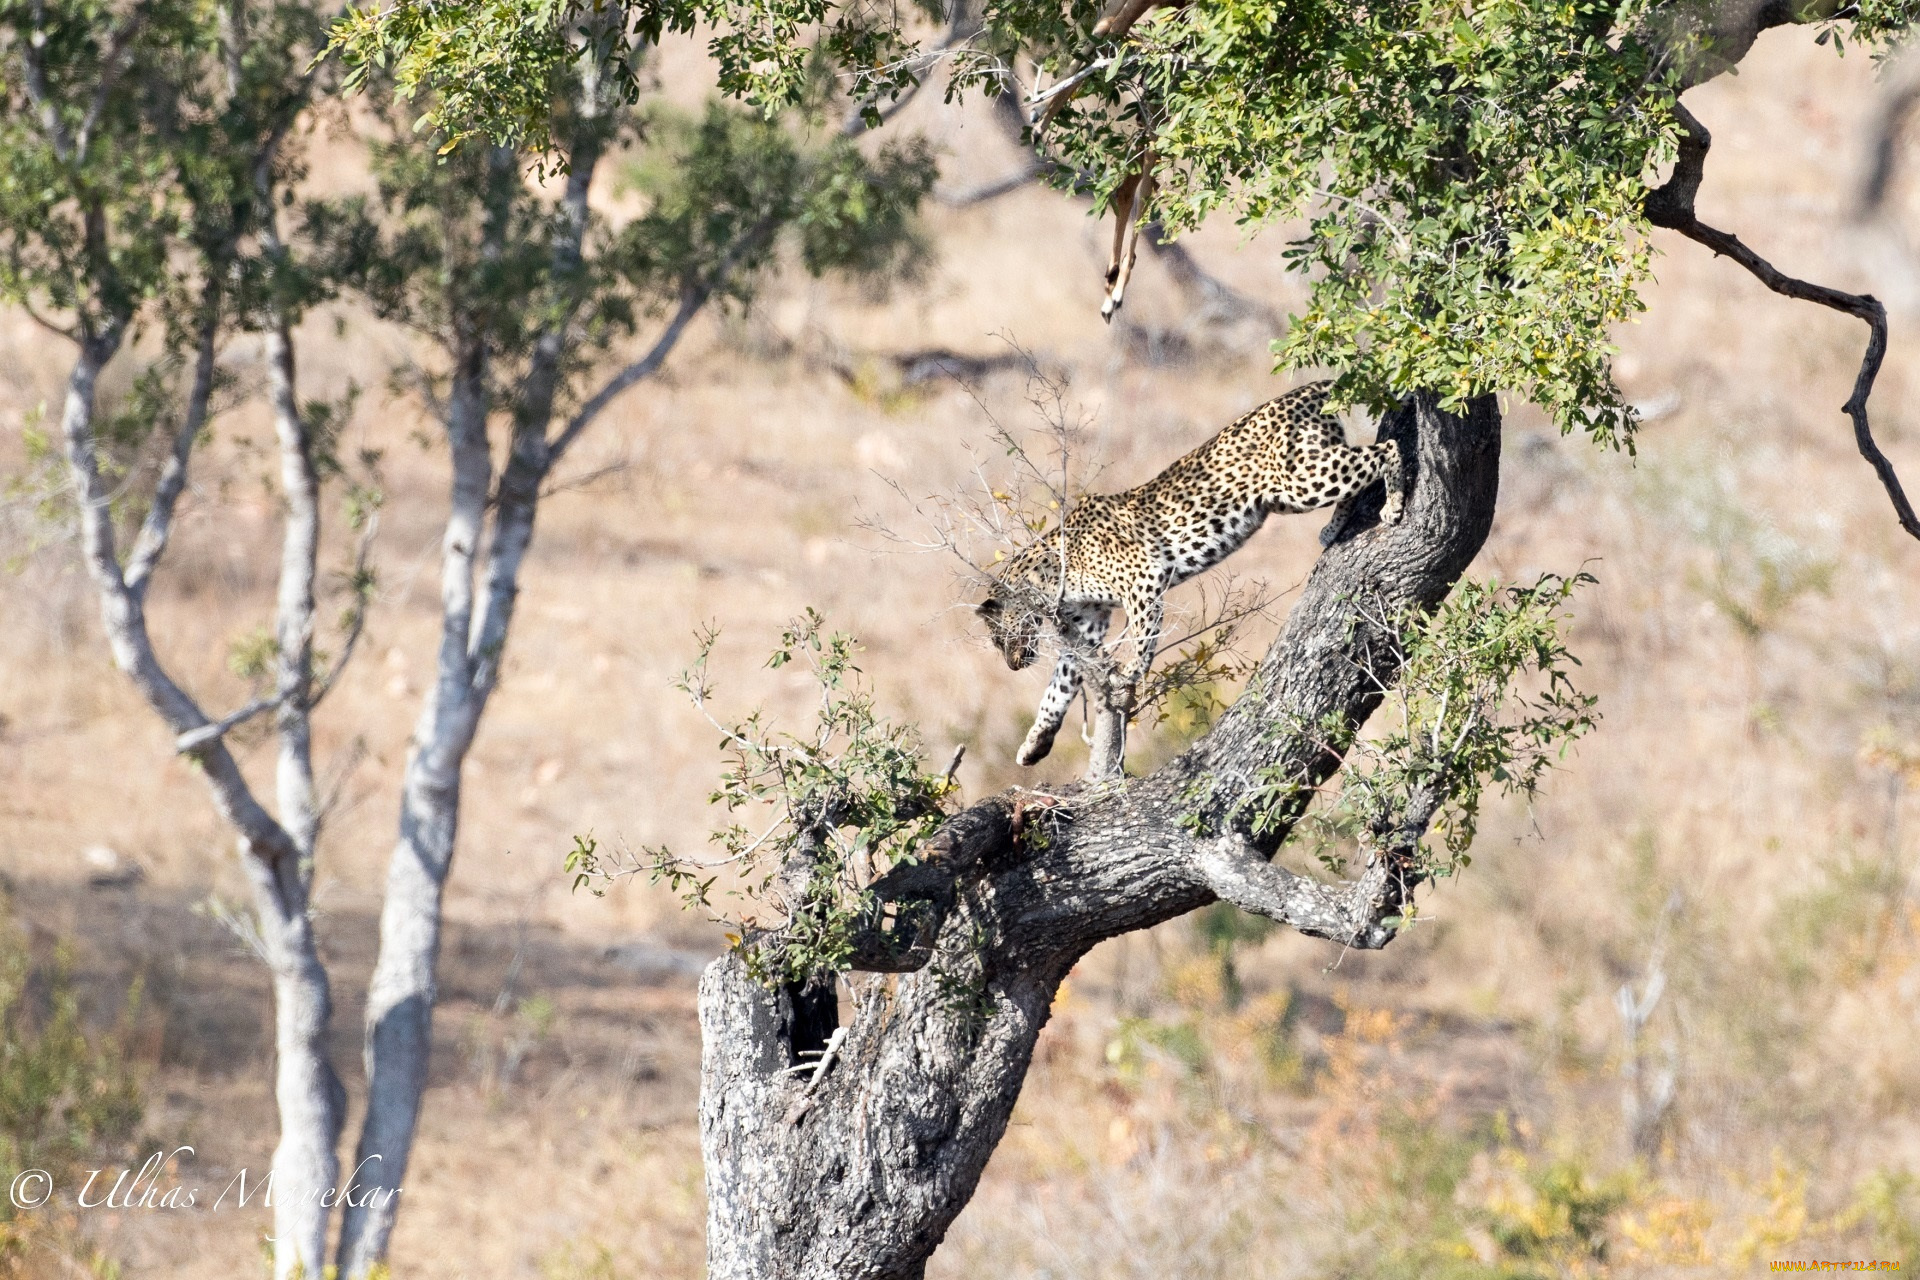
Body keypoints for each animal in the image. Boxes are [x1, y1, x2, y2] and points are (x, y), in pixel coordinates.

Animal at [983, 376, 1405, 767]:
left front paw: (1132, 670)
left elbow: (1142, 636)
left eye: (998, 638)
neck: (1048, 576)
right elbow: (1058, 687)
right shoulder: (1088, 624)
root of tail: (1309, 389)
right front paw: (1035, 744)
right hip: (1289, 494)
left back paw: (1394, 505)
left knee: (1385, 450)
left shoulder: (1143, 578)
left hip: (1301, 479)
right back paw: (1333, 529)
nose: (1011, 665)